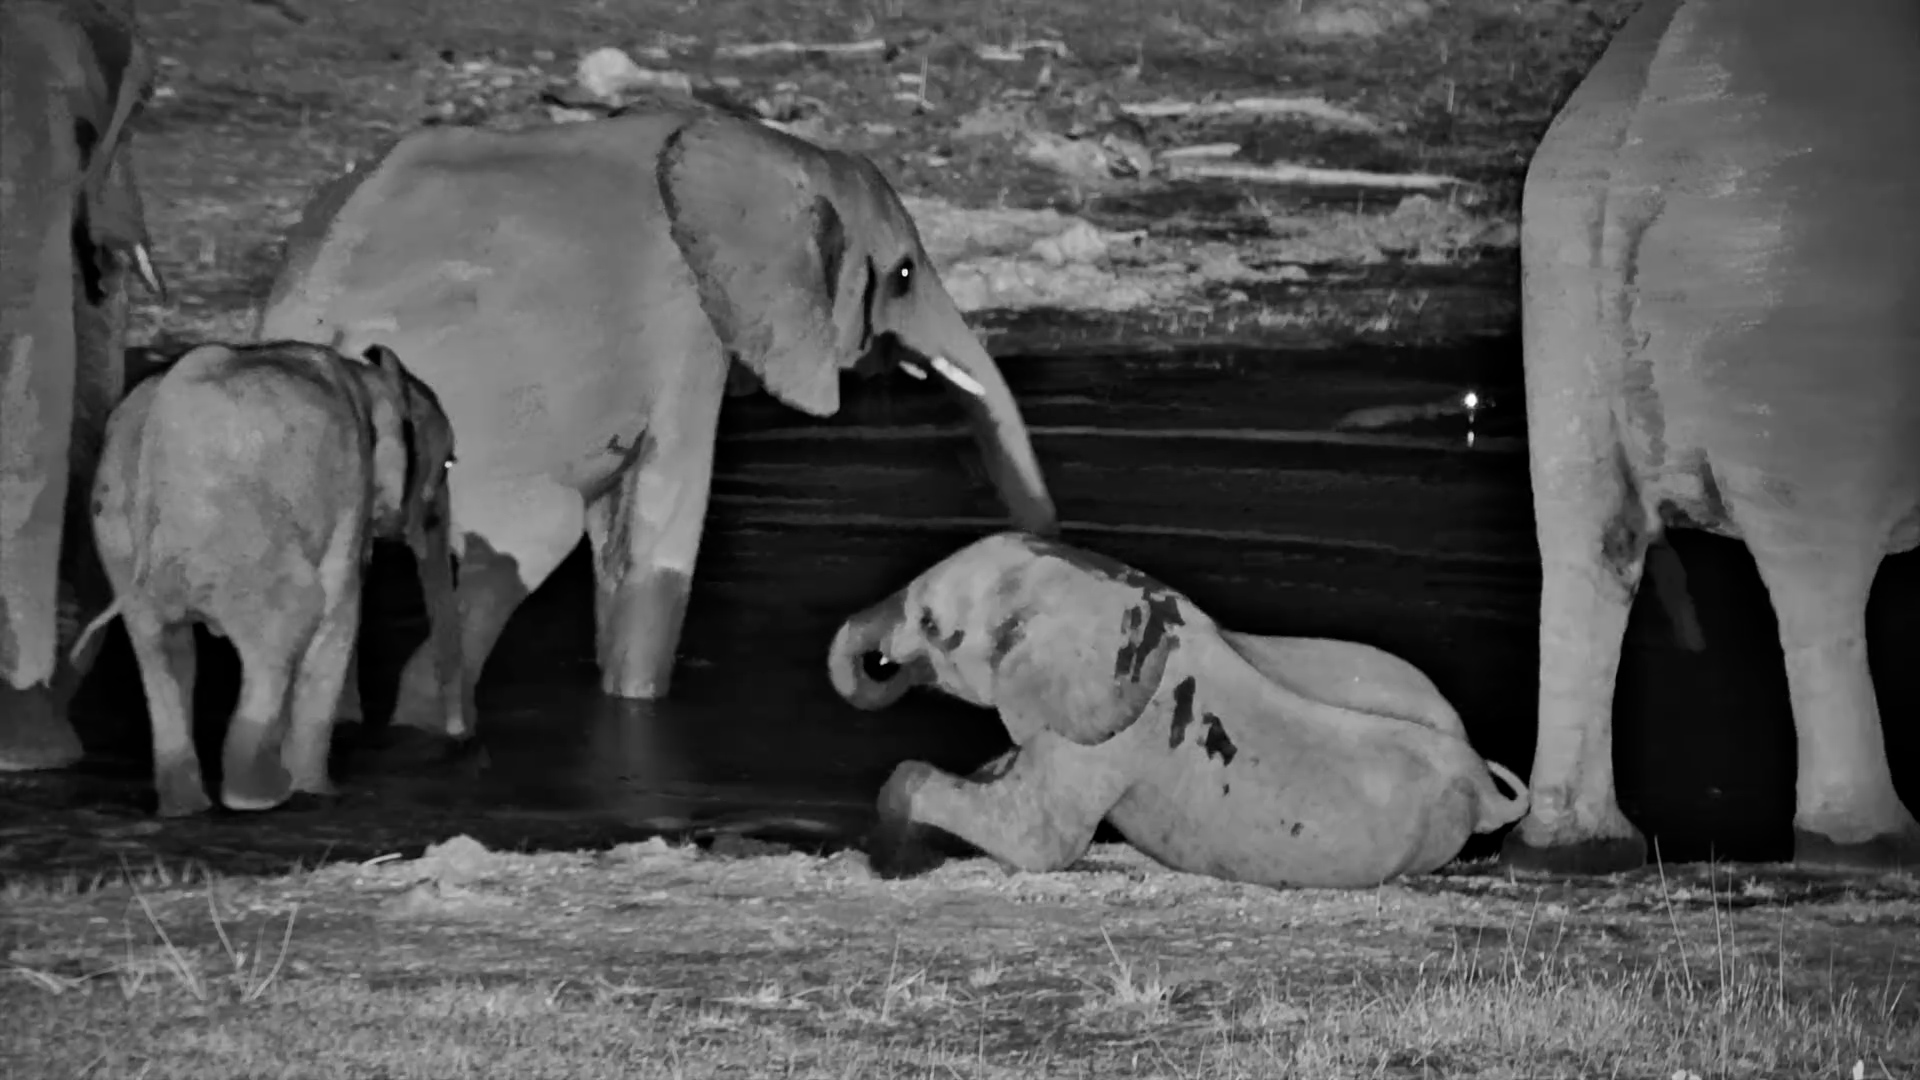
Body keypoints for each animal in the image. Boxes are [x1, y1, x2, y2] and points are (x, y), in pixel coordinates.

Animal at [71, 340, 461, 816]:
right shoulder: (353, 491)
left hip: (118, 533)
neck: (369, 374)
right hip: (244, 530)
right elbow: (339, 618)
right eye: (448, 465)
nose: (458, 734)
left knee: (158, 645)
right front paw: (319, 792)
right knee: (290, 619)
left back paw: (186, 808)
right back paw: (261, 797)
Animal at [255, 108, 1059, 740]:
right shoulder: (687, 329)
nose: (1042, 538)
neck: (769, 150)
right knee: (530, 543)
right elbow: (657, 538)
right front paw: (637, 710)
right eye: (902, 277)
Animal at [827, 532, 1531, 890]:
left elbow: (1039, 842)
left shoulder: (1107, 735)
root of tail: (1480, 781)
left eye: (930, 624)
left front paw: (889, 859)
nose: (880, 661)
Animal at [1505, 0, 1920, 873]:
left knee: (1583, 534)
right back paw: (1872, 842)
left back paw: (1574, 848)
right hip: (1800, 299)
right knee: (1815, 563)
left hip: (1560, 257)